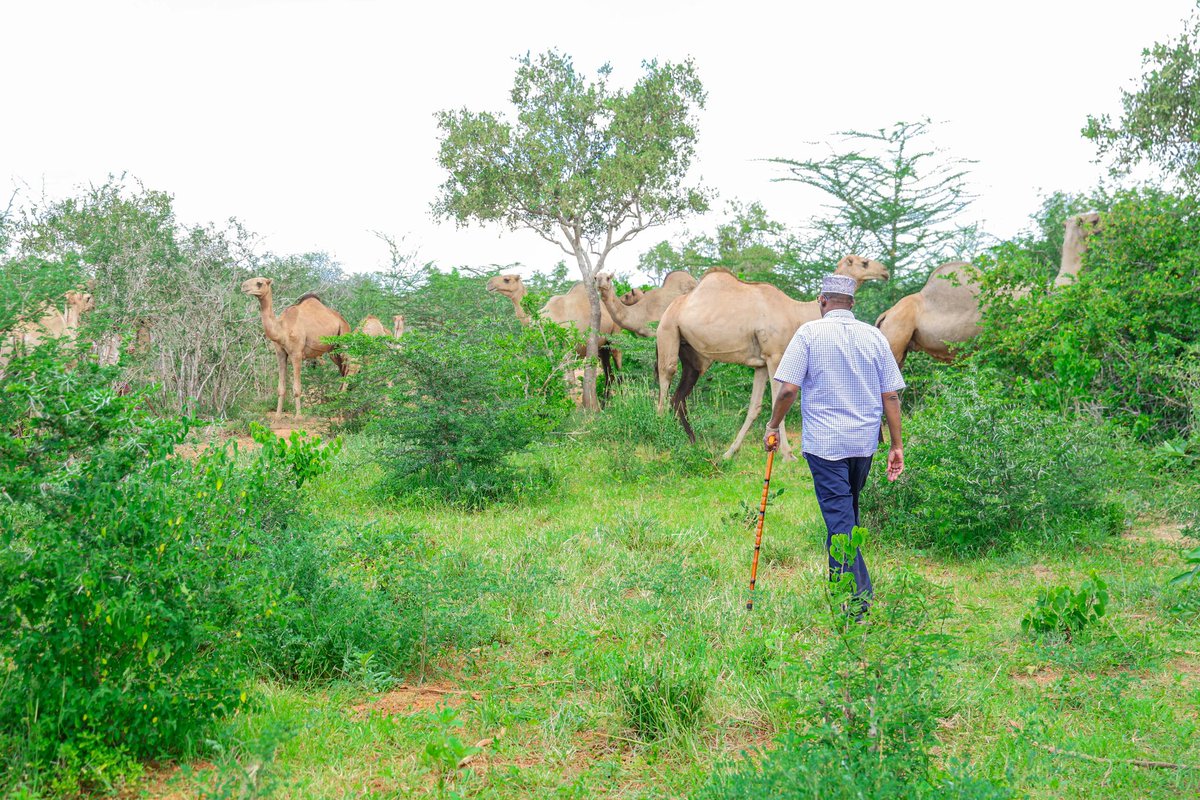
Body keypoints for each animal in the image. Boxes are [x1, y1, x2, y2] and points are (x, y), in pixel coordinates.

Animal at [241, 277, 351, 416]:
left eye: (259, 283)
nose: (243, 286)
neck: (282, 328)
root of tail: (343, 321)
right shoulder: (280, 353)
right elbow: (281, 388)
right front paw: (278, 416)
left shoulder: (297, 353)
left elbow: (297, 389)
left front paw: (298, 417)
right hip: (333, 350)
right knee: (343, 369)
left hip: (344, 338)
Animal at [656, 255, 891, 461]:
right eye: (864, 262)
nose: (885, 271)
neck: (795, 313)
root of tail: (671, 308)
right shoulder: (775, 356)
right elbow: (779, 403)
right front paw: (787, 454)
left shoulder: (761, 363)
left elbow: (755, 407)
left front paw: (730, 452)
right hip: (668, 332)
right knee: (665, 379)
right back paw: (660, 434)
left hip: (693, 355)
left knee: (679, 396)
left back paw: (691, 441)